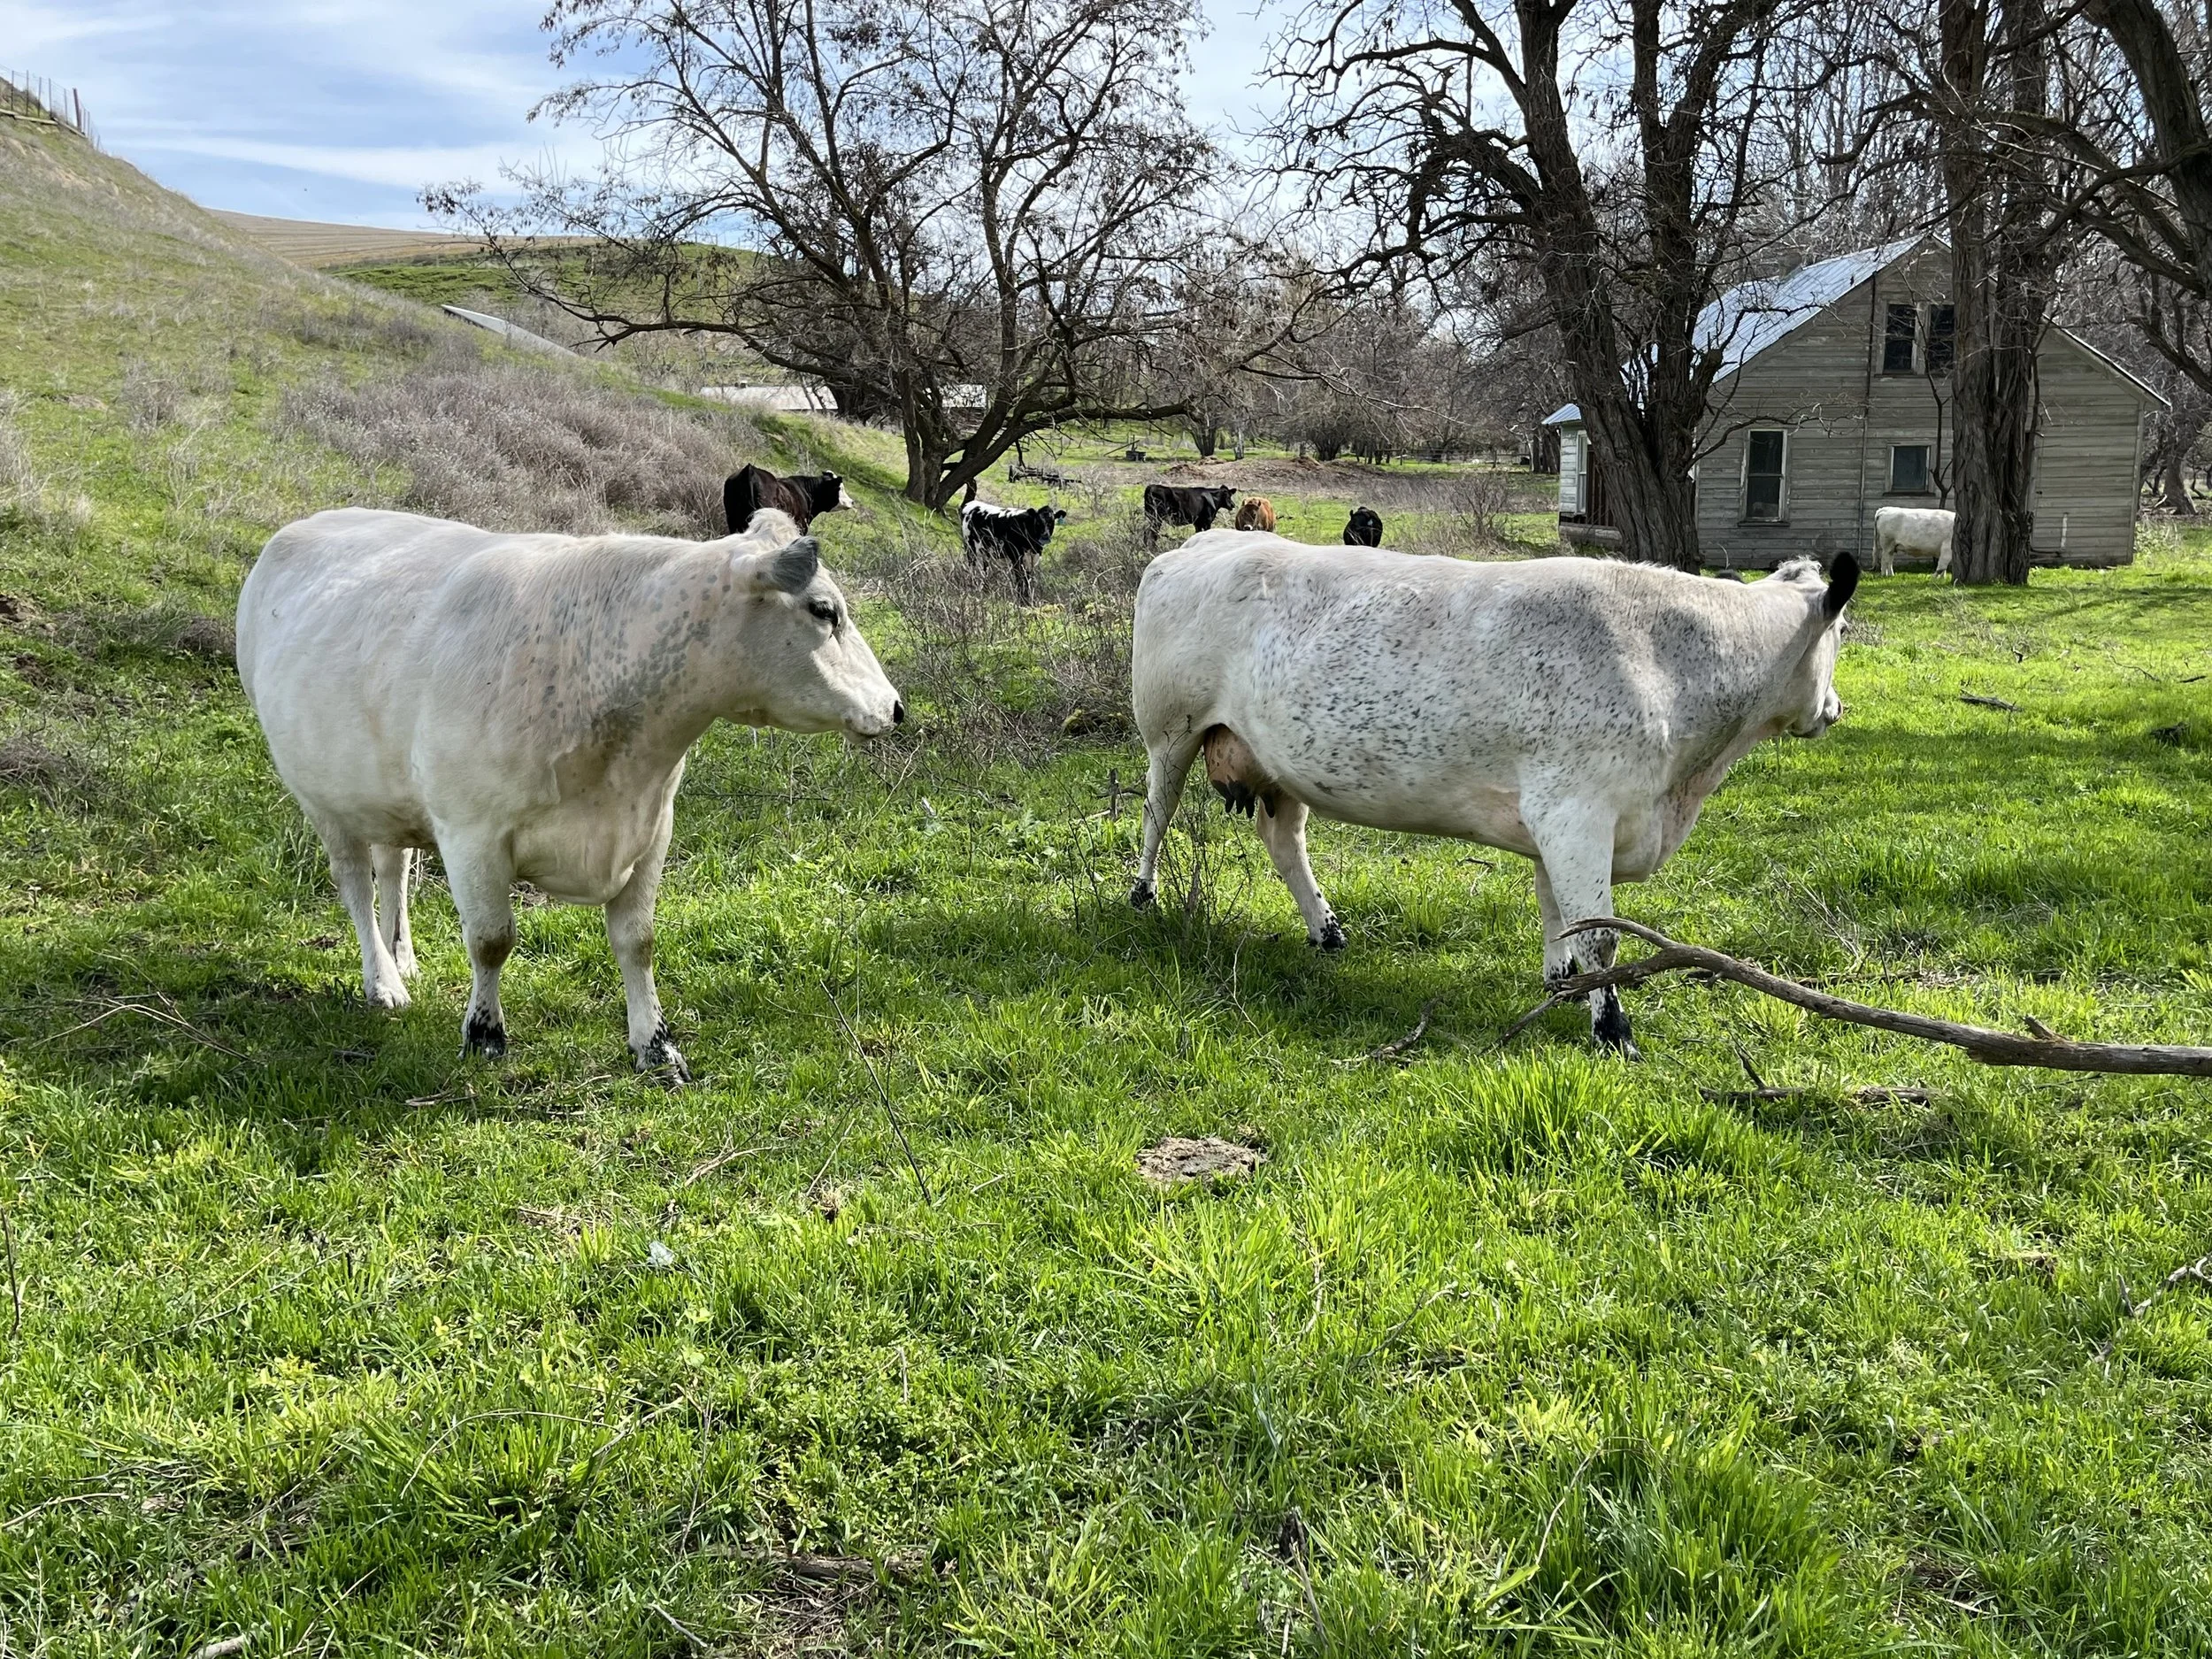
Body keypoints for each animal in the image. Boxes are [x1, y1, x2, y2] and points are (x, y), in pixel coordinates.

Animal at [236, 507, 901, 1082]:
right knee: (355, 884)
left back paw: (402, 960)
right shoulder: (472, 832)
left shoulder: (652, 825)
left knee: (393, 867)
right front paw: (485, 1035)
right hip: (323, 799)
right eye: (824, 610)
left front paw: (655, 1046)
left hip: (382, 792)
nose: (895, 707)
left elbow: (638, 940)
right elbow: (492, 939)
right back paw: (382, 983)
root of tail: (302, 525)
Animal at [1127, 534, 1857, 1055]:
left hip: (1279, 762)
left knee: (1284, 842)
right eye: (1844, 632)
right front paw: (1613, 1030)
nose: (1837, 709)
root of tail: (1204, 540)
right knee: (1157, 813)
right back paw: (1143, 895)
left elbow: (1558, 912)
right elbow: (1601, 938)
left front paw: (1564, 985)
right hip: (1170, 730)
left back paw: (1326, 930)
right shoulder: (1576, 812)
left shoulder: (1557, 821)